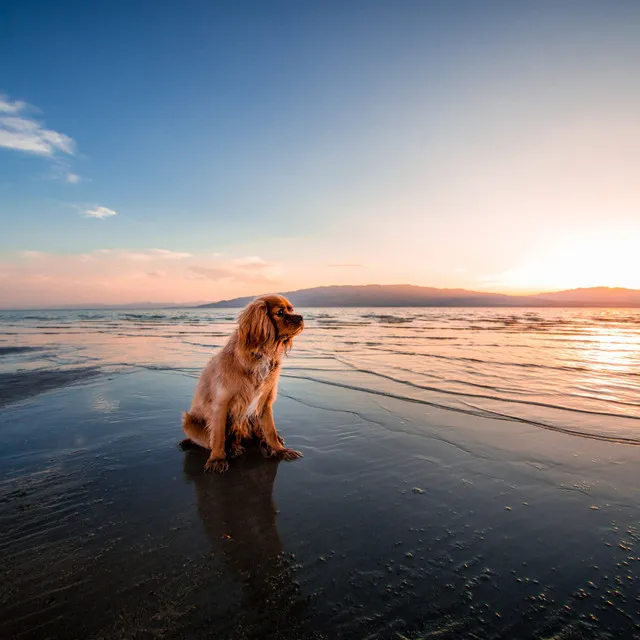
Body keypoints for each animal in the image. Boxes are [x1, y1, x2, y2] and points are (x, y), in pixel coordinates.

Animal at [181, 294, 304, 470]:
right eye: (280, 312)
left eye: (291, 310)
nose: (301, 317)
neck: (260, 355)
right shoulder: (221, 404)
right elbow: (218, 436)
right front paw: (217, 459)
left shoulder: (264, 403)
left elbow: (270, 431)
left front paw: (280, 450)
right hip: (189, 422)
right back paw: (233, 449)